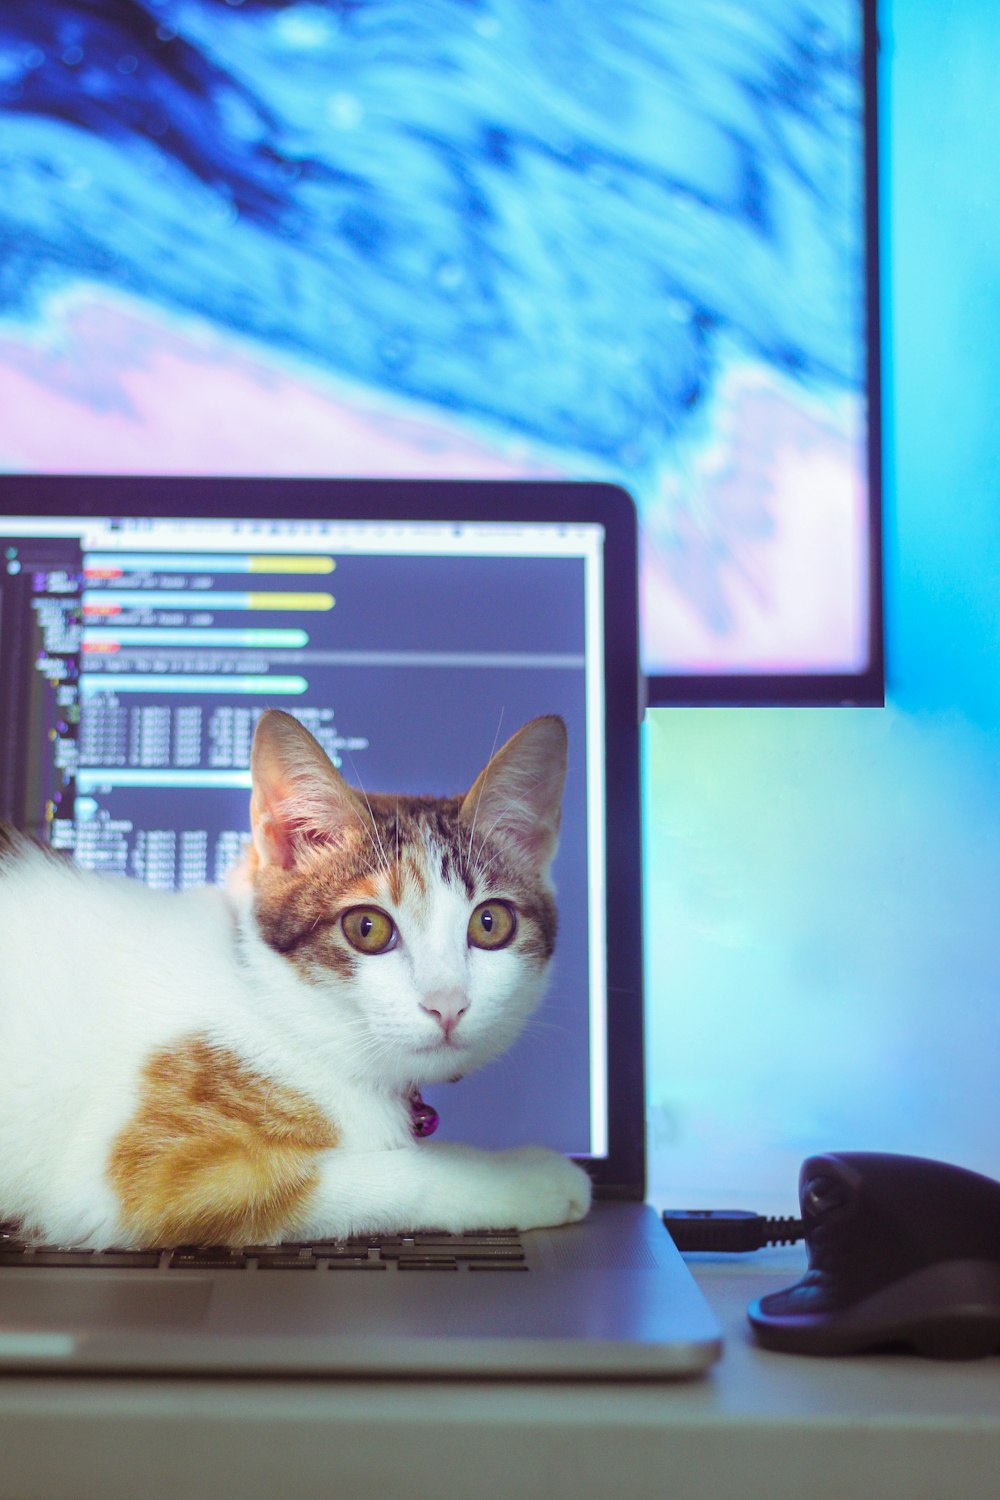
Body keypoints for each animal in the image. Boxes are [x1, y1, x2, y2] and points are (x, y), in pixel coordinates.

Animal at [0, 708, 590, 1248]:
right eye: (368, 928)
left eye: (490, 924)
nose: (447, 1004)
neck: (280, 1014)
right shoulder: (154, 1171)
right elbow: (399, 1173)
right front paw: (524, 1175)